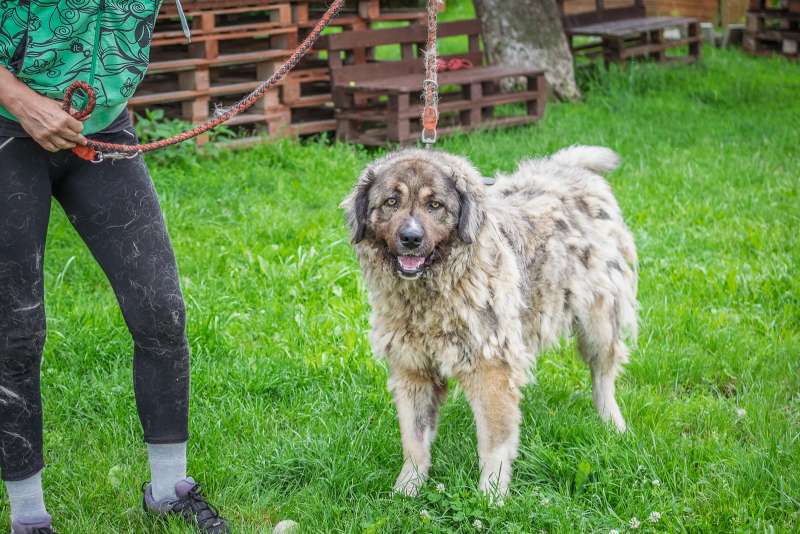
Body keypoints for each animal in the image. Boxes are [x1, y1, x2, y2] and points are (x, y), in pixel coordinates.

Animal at [341, 146, 638, 499]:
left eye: (434, 205)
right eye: (391, 202)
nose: (411, 237)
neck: (430, 295)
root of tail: (569, 169)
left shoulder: (490, 368)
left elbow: (493, 443)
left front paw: (491, 495)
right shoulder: (412, 369)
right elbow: (414, 441)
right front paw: (407, 488)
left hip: (598, 321)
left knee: (603, 375)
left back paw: (613, 424)